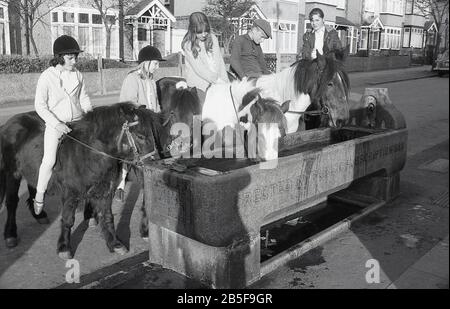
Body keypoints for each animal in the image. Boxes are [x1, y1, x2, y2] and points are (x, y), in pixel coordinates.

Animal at [0, 102, 162, 258]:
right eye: (140, 136)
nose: (155, 162)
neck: (90, 152)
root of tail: (8, 124)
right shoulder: (70, 193)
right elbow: (68, 219)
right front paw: (64, 248)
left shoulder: (105, 190)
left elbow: (107, 216)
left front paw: (115, 243)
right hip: (12, 174)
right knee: (12, 202)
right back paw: (10, 235)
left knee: (34, 190)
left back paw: (39, 214)